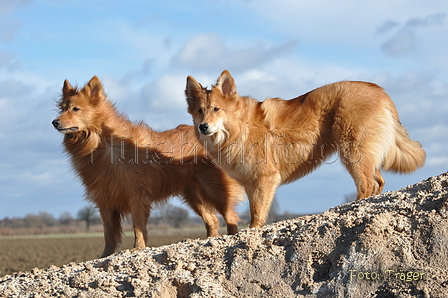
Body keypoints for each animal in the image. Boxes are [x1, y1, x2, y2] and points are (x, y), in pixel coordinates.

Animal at [52, 75, 243, 258]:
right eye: (62, 109)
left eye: (75, 109)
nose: (54, 122)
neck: (102, 142)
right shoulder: (105, 200)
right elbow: (109, 234)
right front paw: (105, 255)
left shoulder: (137, 195)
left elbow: (137, 226)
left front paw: (138, 248)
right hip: (194, 195)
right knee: (212, 221)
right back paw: (210, 241)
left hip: (215, 189)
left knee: (230, 217)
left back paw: (230, 239)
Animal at [185, 70, 424, 228]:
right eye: (199, 111)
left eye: (216, 109)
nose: (203, 127)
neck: (240, 127)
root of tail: (380, 92)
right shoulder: (251, 183)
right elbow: (254, 212)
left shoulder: (265, 179)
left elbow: (257, 214)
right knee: (378, 182)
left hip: (352, 151)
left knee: (367, 184)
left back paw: (353, 209)